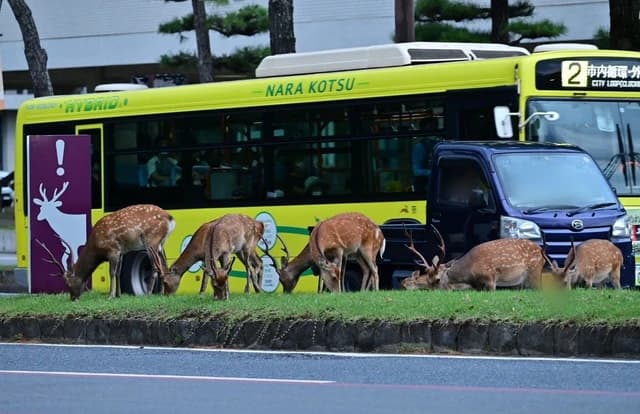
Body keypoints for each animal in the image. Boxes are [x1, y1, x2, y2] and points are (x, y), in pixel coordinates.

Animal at [37, 204, 175, 300]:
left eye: (68, 283)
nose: (73, 298)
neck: (97, 247)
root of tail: (170, 218)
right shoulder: (121, 252)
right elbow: (118, 272)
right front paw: (119, 295)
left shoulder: (112, 250)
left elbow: (112, 273)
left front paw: (110, 296)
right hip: (161, 243)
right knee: (164, 264)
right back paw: (163, 293)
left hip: (151, 241)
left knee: (156, 266)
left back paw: (149, 293)